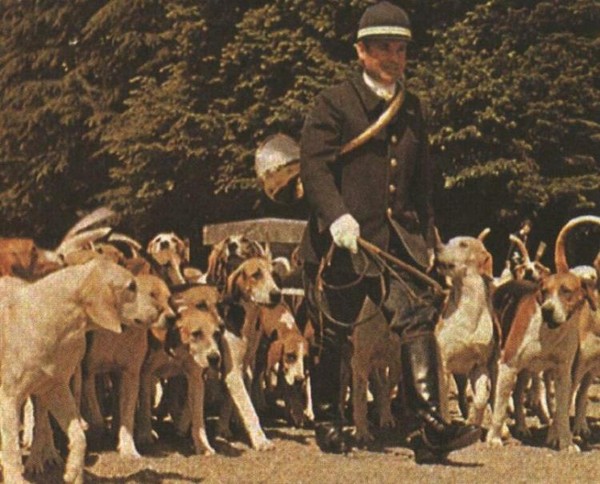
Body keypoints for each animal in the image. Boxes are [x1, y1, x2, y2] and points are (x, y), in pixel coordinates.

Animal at [0, 258, 162, 483]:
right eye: (131, 287)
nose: (160, 310)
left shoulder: (56, 389)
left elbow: (79, 438)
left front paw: (73, 472)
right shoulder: (9, 398)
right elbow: (12, 452)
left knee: (42, 426)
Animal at [435, 229, 497, 426]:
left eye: (463, 244)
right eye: (447, 241)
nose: (436, 247)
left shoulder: (480, 365)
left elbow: (481, 399)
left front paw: (473, 421)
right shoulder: (443, 364)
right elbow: (443, 402)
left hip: (464, 372)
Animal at [486, 216, 599, 452]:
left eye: (566, 291)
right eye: (544, 292)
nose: (547, 309)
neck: (550, 333)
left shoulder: (563, 374)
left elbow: (562, 411)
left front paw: (566, 443)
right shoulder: (508, 366)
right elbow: (500, 407)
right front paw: (494, 438)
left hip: (528, 371)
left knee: (518, 395)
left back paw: (521, 426)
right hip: (498, 361)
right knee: (496, 396)